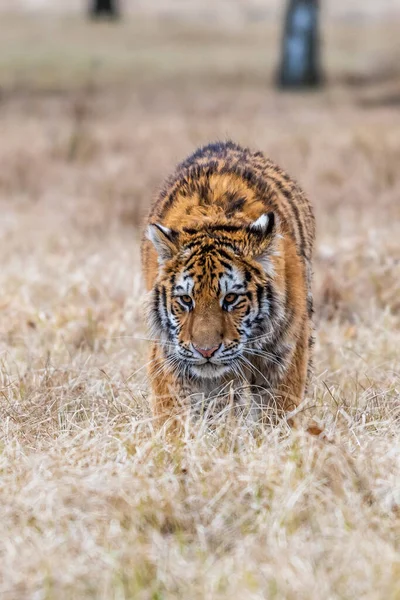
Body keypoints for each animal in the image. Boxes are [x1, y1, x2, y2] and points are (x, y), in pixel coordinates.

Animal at [141, 140, 316, 426]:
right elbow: (173, 414)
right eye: (186, 300)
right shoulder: (170, 354)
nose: (206, 351)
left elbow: (279, 408)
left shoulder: (284, 353)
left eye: (231, 298)